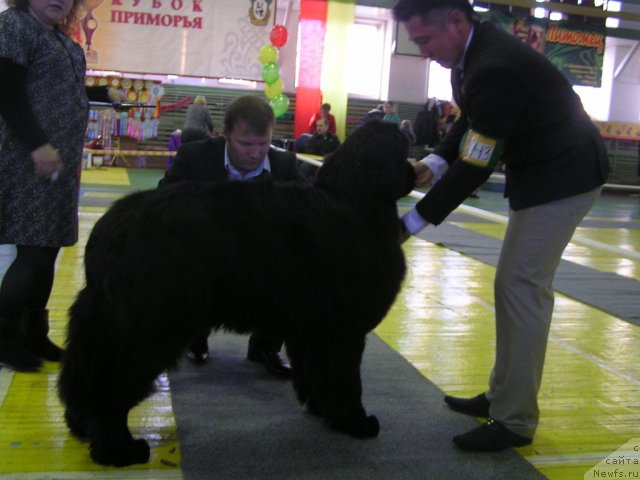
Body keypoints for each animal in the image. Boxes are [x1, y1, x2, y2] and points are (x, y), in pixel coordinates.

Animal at [58, 120, 416, 464]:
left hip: (104, 322)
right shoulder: (342, 332)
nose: (415, 172)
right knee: (110, 388)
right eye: (403, 147)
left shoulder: (310, 331)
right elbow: (345, 381)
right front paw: (356, 422)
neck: (356, 202)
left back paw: (82, 425)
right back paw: (119, 451)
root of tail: (108, 230)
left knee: (83, 378)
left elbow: (314, 375)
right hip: (149, 327)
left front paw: (321, 410)